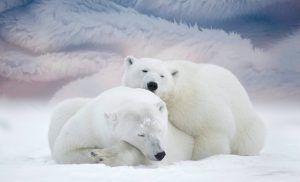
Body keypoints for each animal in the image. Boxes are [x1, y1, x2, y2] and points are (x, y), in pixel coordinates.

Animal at [48, 86, 195, 166]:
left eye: (159, 129)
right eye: (141, 134)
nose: (160, 154)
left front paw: (106, 156)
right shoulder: (89, 124)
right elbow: (66, 149)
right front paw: (97, 154)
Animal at [120, 56, 266, 160]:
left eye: (162, 75)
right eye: (144, 70)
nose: (152, 84)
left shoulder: (196, 103)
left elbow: (212, 128)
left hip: (247, 124)